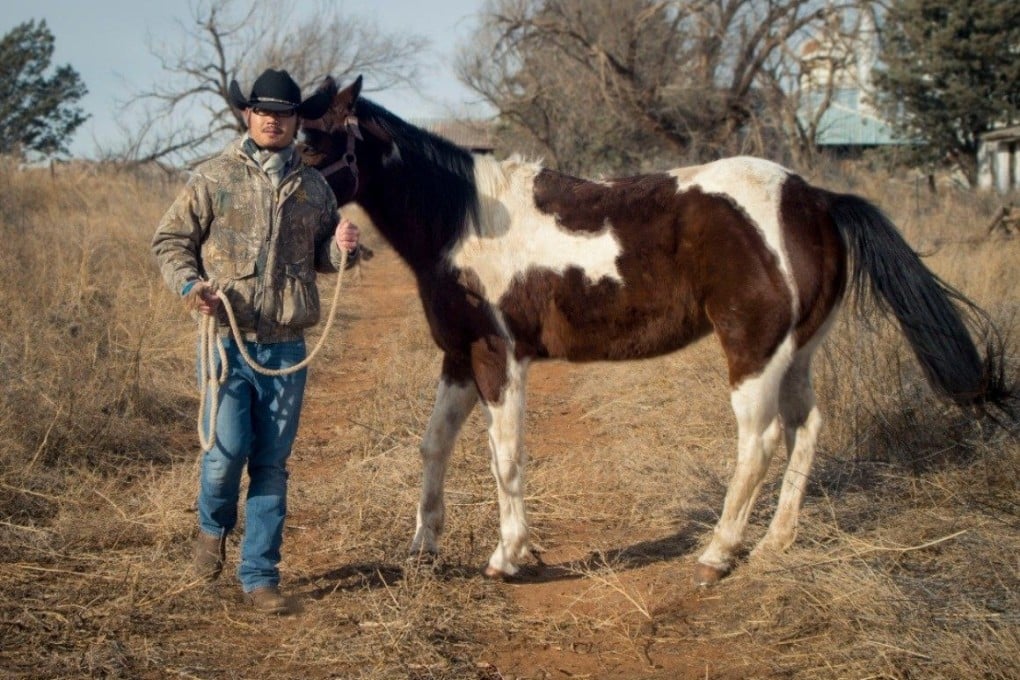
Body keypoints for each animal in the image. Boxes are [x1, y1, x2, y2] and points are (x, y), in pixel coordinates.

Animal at [300, 76, 1009, 585]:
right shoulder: (459, 356)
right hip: (798, 355)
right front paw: (423, 547)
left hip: (753, 355)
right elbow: (435, 446)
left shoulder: (499, 357)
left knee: (760, 442)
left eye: (314, 143)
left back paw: (717, 555)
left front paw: (509, 557)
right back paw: (774, 544)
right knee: (807, 428)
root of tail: (813, 200)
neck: (467, 219)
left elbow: (506, 457)